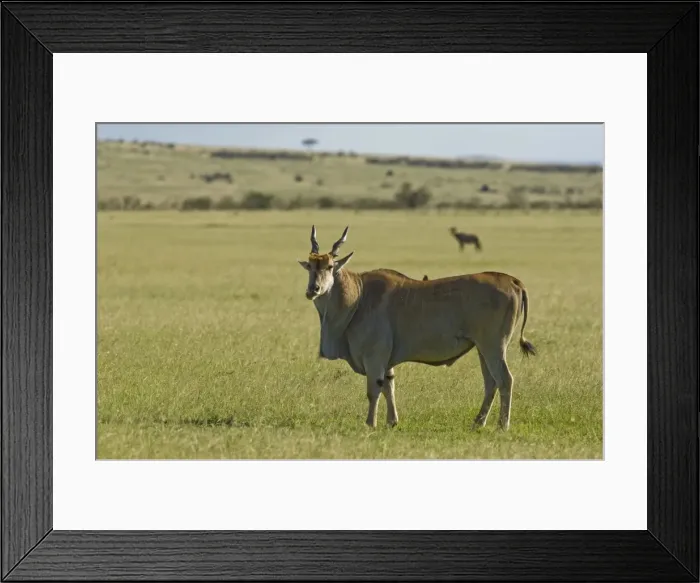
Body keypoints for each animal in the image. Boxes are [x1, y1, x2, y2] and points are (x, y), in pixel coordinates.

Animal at [297, 226, 536, 430]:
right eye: (310, 266)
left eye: (330, 267)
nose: (313, 289)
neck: (359, 296)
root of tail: (514, 282)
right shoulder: (386, 361)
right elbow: (389, 387)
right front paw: (392, 422)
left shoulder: (374, 357)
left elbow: (374, 391)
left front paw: (370, 424)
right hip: (482, 348)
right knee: (491, 382)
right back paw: (478, 423)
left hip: (493, 346)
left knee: (505, 380)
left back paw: (502, 425)